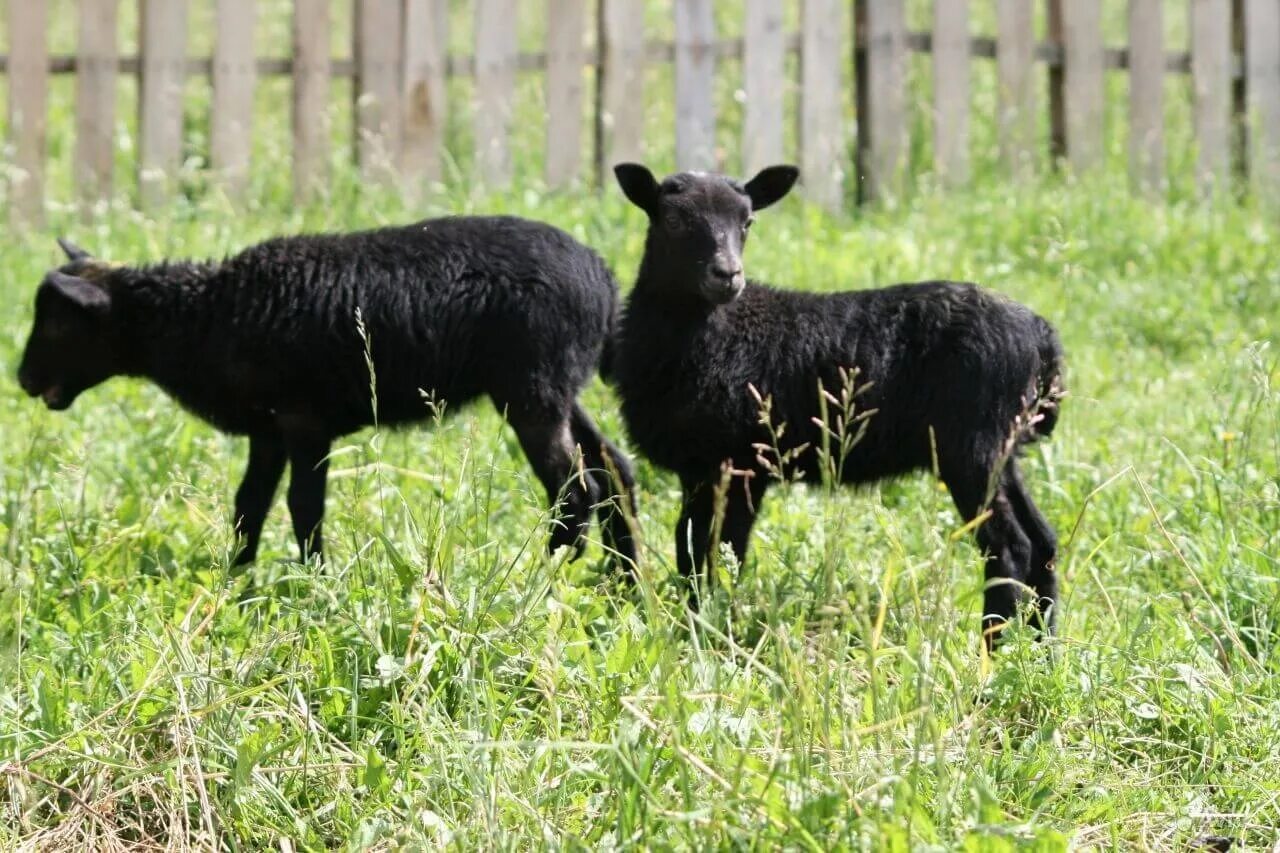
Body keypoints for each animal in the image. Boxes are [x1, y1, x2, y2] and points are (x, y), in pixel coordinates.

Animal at [17, 219, 637, 563]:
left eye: (59, 324)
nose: (22, 381)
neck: (201, 318)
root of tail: (604, 282)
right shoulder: (267, 430)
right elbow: (248, 508)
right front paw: (235, 585)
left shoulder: (303, 421)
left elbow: (303, 508)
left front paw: (315, 585)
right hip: (558, 386)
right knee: (615, 471)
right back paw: (621, 584)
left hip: (530, 391)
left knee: (575, 489)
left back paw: (548, 574)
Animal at [614, 162, 1064, 640]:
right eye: (672, 219)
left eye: (747, 222)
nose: (728, 275)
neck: (715, 334)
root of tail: (1043, 339)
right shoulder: (700, 469)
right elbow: (691, 547)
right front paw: (695, 621)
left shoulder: (739, 466)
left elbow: (718, 552)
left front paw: (707, 628)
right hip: (1002, 449)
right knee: (1042, 542)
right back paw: (1043, 646)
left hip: (973, 449)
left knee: (1010, 547)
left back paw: (992, 645)